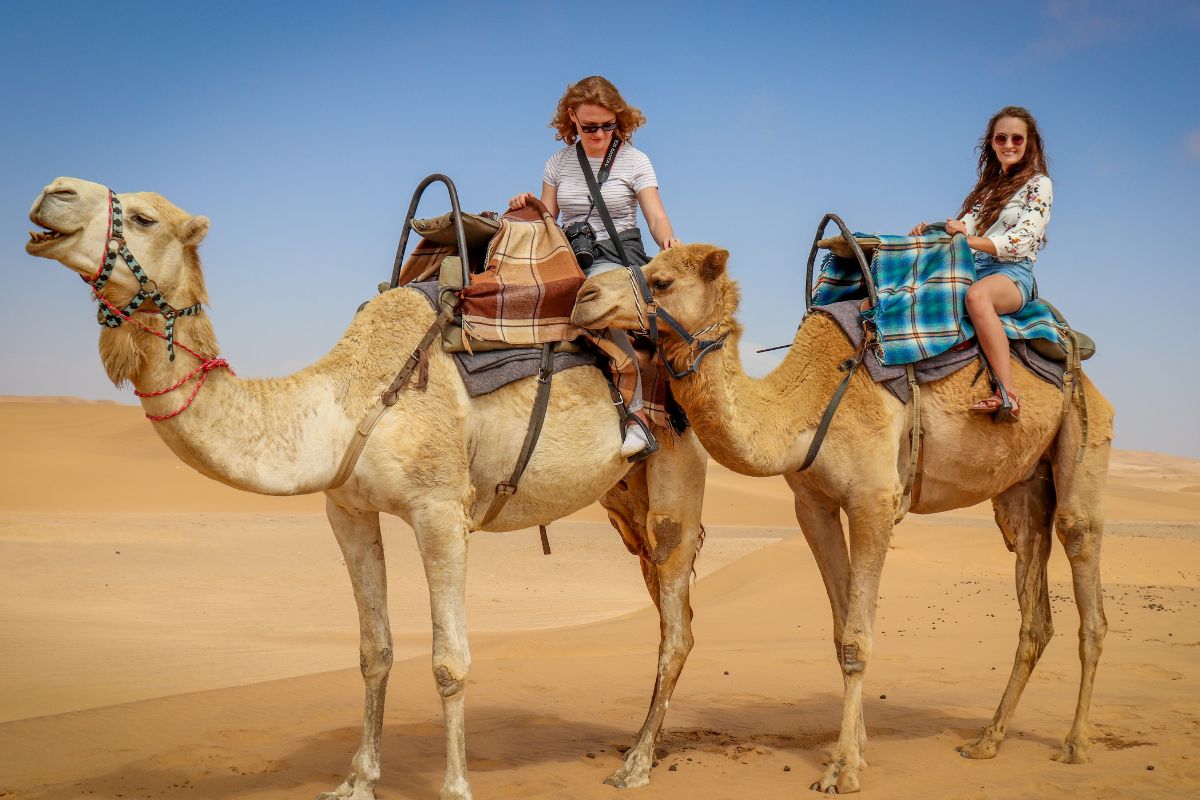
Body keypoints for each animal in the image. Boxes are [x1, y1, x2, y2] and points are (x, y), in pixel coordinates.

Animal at [24, 177, 709, 800]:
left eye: (143, 217)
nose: (53, 192)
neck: (347, 398)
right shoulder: (346, 510)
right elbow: (373, 649)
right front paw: (357, 779)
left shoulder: (440, 509)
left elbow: (449, 661)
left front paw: (455, 787)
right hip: (625, 498)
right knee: (667, 610)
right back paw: (638, 748)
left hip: (676, 470)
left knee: (675, 627)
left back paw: (635, 766)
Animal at [572, 243, 1114, 794]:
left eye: (660, 281)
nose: (583, 296)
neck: (803, 405)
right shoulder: (812, 506)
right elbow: (839, 632)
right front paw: (858, 750)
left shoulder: (874, 499)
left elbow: (857, 638)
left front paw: (842, 770)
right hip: (1022, 490)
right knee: (1034, 602)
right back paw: (987, 741)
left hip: (1085, 438)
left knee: (1082, 562)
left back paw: (1075, 744)